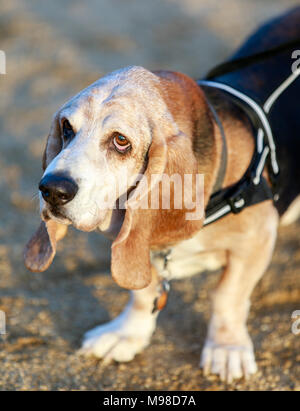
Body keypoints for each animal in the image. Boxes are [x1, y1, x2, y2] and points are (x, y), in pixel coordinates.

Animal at [24, 8, 300, 384]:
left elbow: (227, 296)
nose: (52, 189)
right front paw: (126, 333)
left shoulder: (257, 239)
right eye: (67, 128)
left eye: (121, 141)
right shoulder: (136, 242)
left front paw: (226, 348)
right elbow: (143, 292)